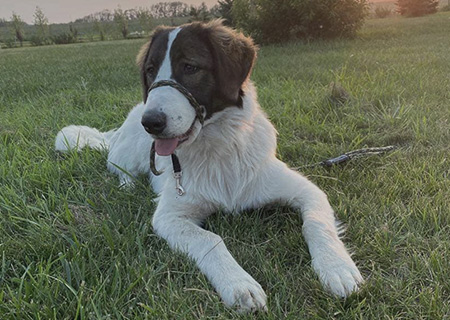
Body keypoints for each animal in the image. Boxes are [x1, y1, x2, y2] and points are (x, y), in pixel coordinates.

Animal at [56, 20, 364, 312]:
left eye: (190, 67)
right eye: (151, 71)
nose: (151, 123)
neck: (218, 149)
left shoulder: (307, 191)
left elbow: (316, 224)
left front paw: (336, 268)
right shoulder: (169, 216)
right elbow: (210, 239)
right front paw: (238, 283)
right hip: (129, 153)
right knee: (119, 168)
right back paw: (128, 185)